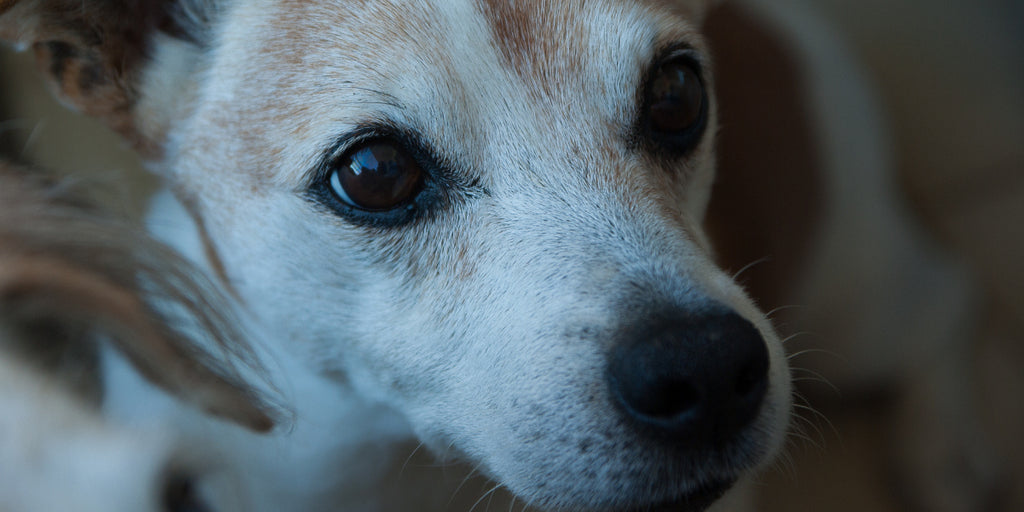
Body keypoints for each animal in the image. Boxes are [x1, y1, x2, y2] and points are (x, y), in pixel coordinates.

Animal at [0, 0, 987, 509]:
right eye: (374, 172)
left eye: (676, 94)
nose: (708, 370)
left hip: (858, 300)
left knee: (949, 297)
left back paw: (950, 458)